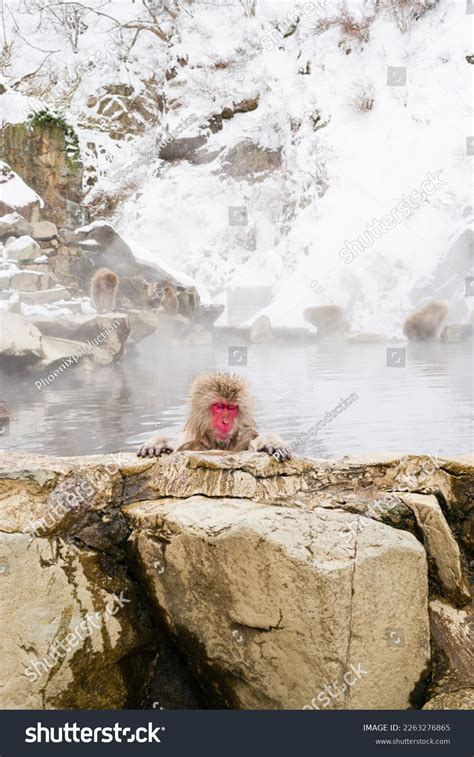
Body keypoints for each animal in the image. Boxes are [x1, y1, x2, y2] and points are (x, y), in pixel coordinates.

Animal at [137, 371, 291, 461]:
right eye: (219, 407)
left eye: (231, 408)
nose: (225, 422)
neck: (216, 443)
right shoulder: (187, 438)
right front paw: (158, 441)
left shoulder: (245, 434)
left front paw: (272, 441)